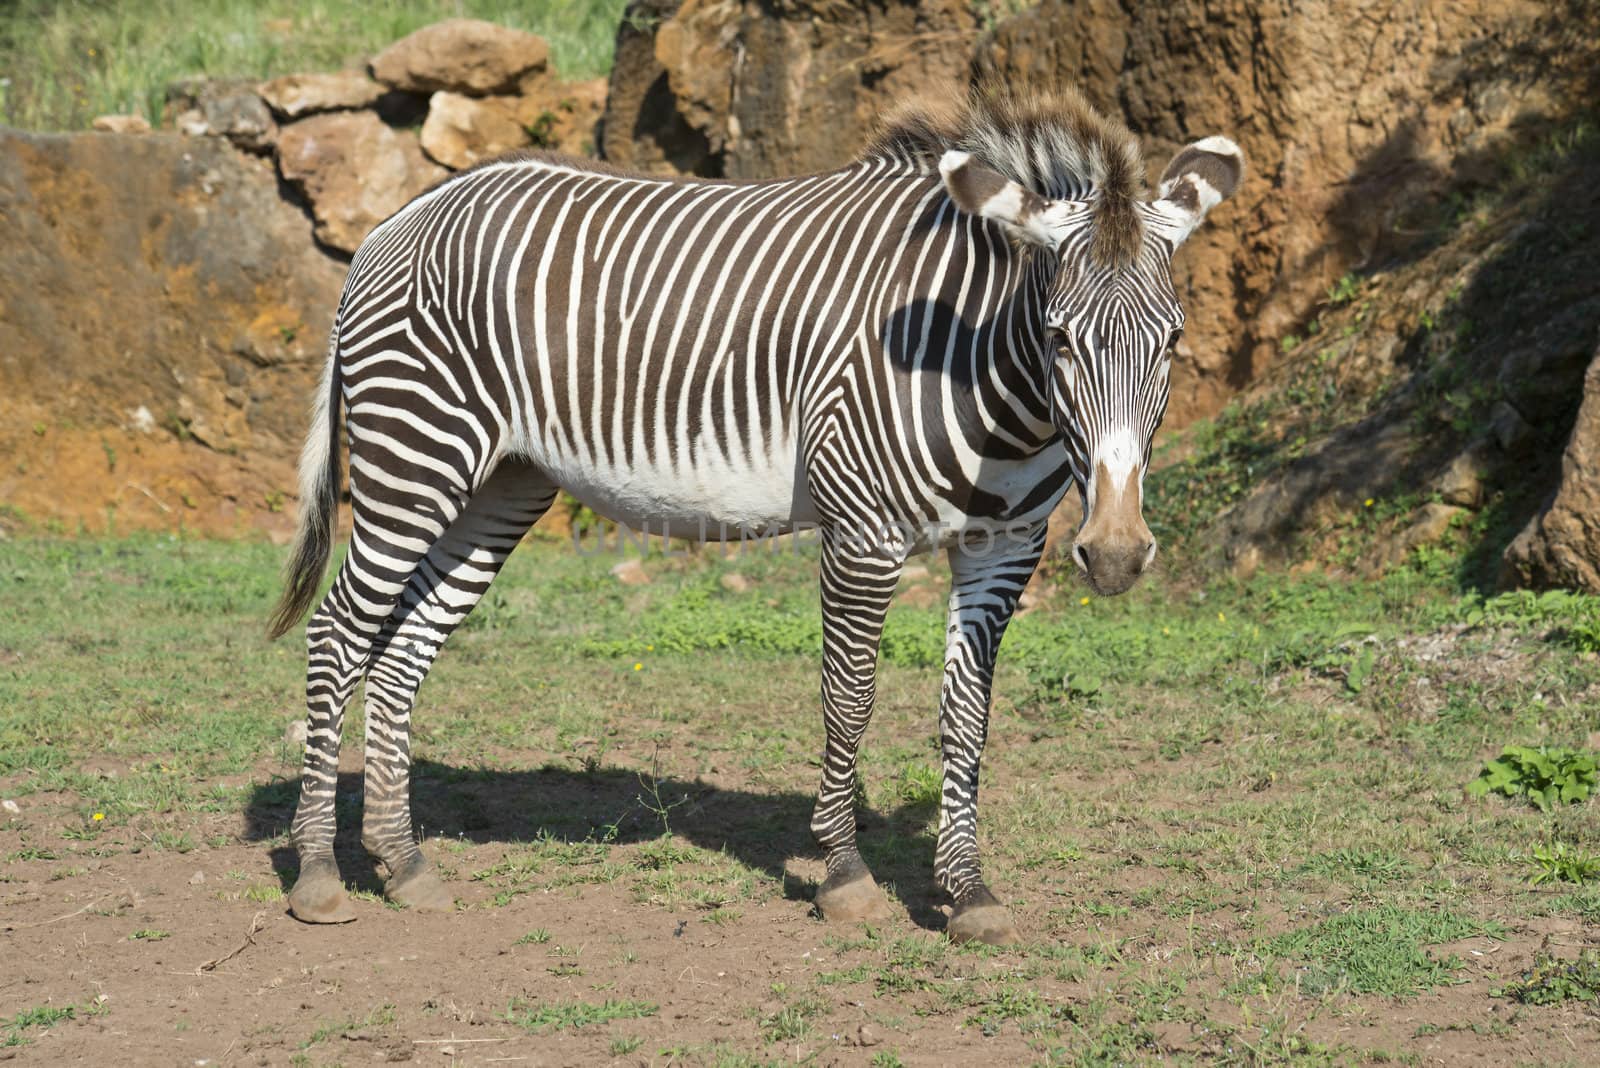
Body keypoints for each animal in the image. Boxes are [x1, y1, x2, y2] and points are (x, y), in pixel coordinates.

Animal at [268, 87, 1241, 946]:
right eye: (1059, 336)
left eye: (1174, 340)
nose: (1115, 554)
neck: (979, 369)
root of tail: (402, 213)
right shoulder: (862, 530)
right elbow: (849, 697)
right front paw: (845, 878)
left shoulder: (1004, 547)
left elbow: (968, 716)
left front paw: (968, 893)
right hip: (417, 454)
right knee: (339, 632)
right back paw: (318, 874)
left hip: (500, 483)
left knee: (402, 650)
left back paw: (404, 864)